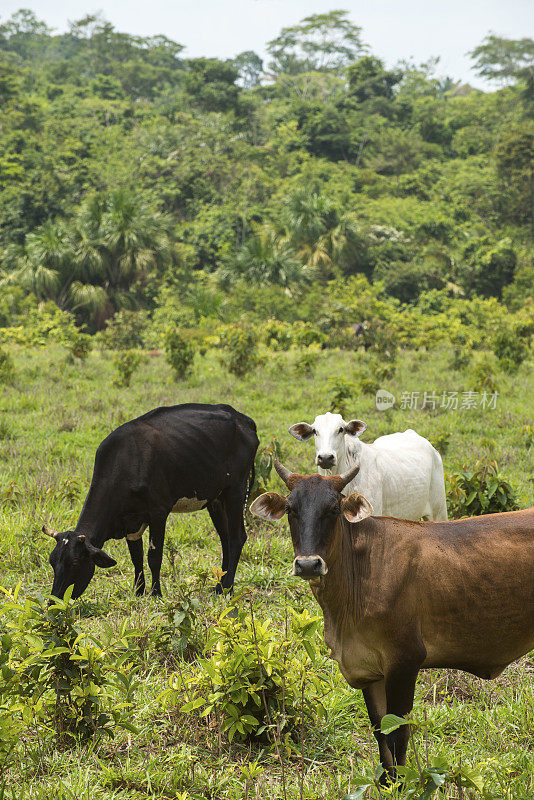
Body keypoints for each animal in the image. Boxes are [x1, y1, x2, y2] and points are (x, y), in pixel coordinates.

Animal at [45, 404, 258, 596]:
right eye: (52, 561)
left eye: (74, 562)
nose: (53, 600)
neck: (127, 463)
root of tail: (242, 418)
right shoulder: (130, 523)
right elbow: (136, 557)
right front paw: (138, 592)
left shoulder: (158, 512)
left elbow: (154, 556)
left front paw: (156, 593)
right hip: (216, 499)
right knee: (225, 539)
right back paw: (219, 586)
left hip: (236, 491)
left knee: (237, 537)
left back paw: (227, 587)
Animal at [251, 462, 534, 780]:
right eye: (290, 508)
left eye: (334, 509)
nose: (309, 564)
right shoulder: (368, 670)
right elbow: (380, 735)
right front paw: (388, 782)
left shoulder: (405, 660)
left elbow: (398, 734)